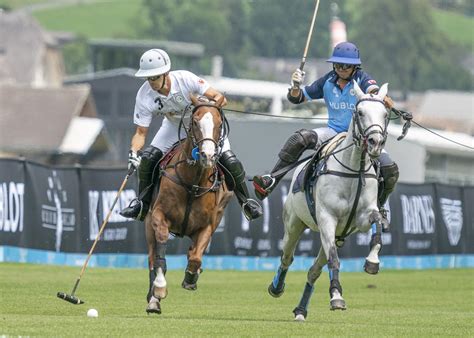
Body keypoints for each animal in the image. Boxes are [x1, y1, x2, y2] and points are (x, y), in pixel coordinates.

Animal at [145, 95, 232, 314]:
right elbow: (160, 257)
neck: (193, 182)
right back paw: (153, 300)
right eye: (195, 122)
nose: (208, 156)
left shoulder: (207, 225)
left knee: (193, 252)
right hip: (147, 223)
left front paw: (191, 278)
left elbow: (196, 257)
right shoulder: (158, 216)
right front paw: (159, 288)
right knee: (151, 257)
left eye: (219, 124)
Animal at [268, 80, 390, 320]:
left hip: (337, 235)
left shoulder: (363, 217)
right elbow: (334, 259)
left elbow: (377, 226)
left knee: (313, 271)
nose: (376, 142)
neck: (354, 170)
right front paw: (336, 297)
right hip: (295, 224)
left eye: (385, 114)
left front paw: (372, 261)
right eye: (360, 112)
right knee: (287, 257)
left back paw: (301, 310)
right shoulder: (326, 218)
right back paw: (277, 287)